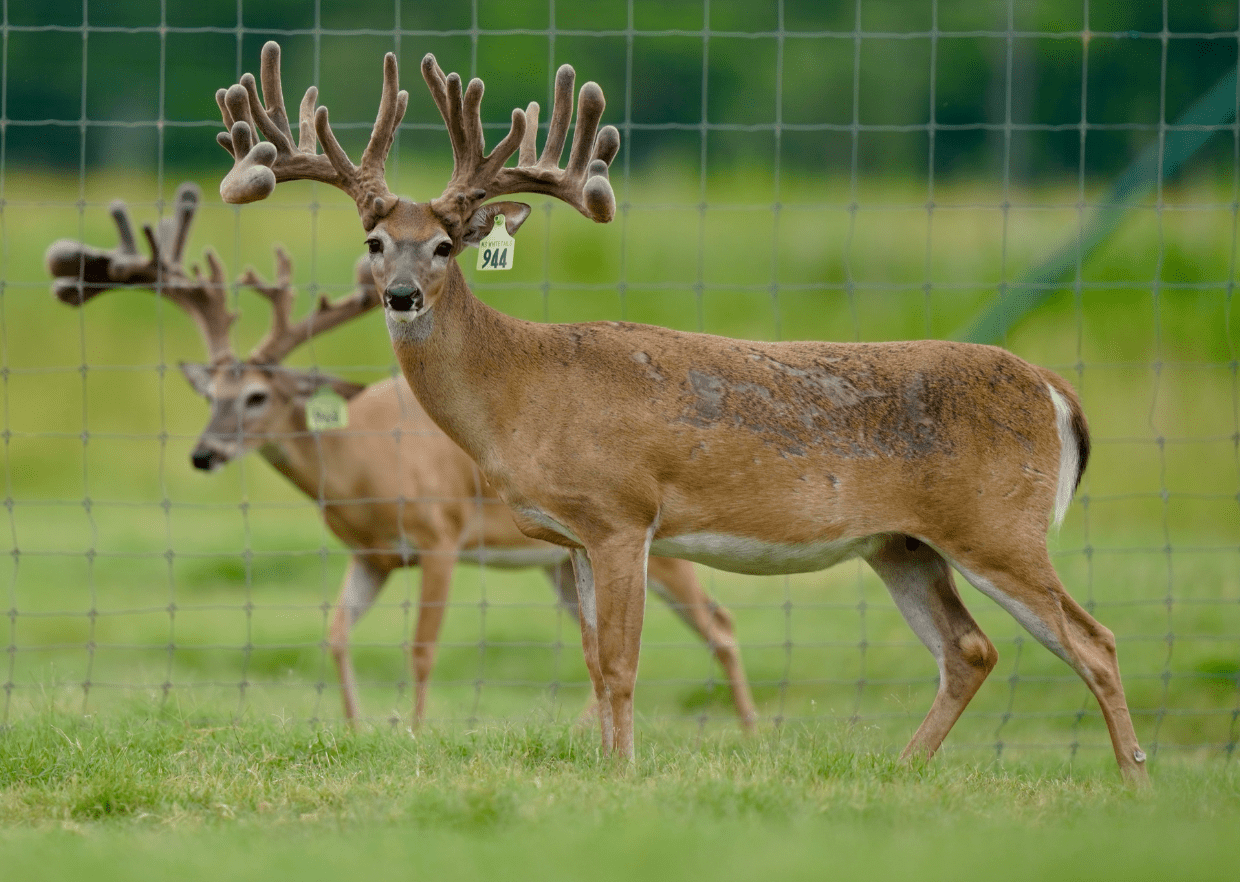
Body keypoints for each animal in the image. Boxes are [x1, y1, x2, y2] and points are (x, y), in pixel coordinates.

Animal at [43, 182, 758, 730]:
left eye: (256, 395)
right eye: (209, 394)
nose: (203, 453)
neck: (361, 467)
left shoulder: (440, 533)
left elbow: (421, 647)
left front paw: (412, 730)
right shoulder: (372, 555)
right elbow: (335, 633)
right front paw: (357, 727)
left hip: (652, 541)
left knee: (719, 622)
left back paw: (749, 732)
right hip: (561, 559)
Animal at [210, 41, 1149, 783]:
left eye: (444, 246)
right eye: (375, 242)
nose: (400, 295)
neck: (520, 391)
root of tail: (1054, 390)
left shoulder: (624, 515)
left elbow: (622, 664)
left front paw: (623, 776)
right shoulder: (572, 537)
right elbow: (593, 663)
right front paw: (602, 770)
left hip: (999, 525)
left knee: (1094, 641)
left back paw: (1133, 783)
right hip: (903, 543)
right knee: (969, 650)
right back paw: (903, 771)